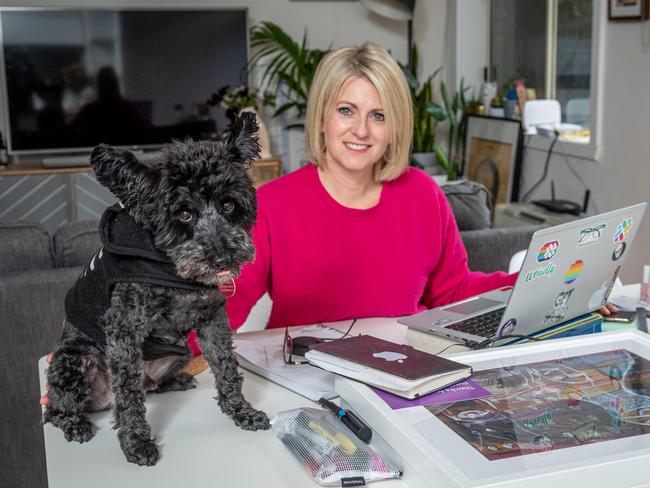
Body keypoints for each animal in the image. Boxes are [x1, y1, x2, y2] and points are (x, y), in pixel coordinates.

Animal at [45, 112, 268, 468]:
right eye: (185, 213)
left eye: (228, 205)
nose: (223, 258)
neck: (174, 272)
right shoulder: (123, 328)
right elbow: (129, 395)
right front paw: (136, 442)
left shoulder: (212, 320)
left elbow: (226, 368)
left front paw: (241, 411)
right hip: (71, 361)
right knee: (56, 409)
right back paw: (75, 423)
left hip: (180, 350)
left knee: (150, 387)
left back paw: (175, 381)